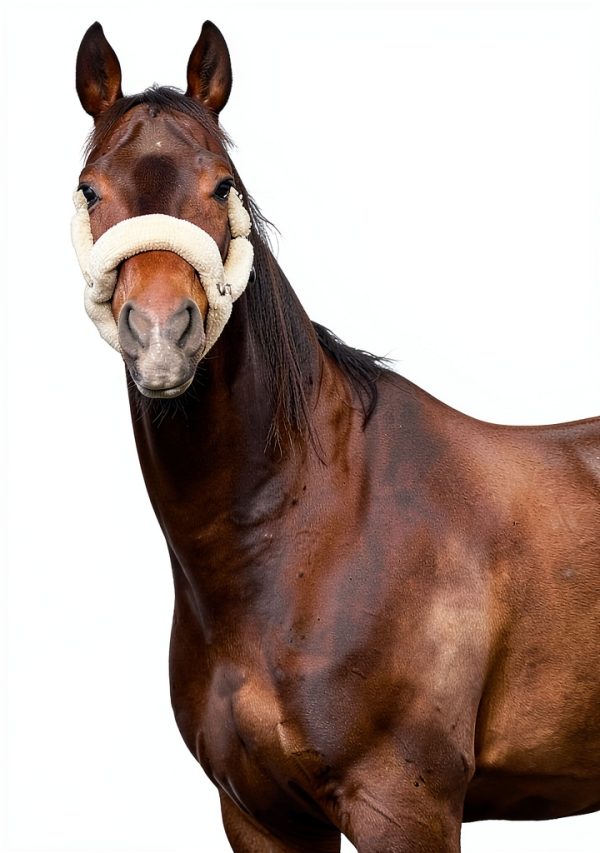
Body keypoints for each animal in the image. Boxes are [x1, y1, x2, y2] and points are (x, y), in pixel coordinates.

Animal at [73, 20, 600, 852]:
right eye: (92, 188)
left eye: (223, 184)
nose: (161, 334)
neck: (313, 524)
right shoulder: (261, 814)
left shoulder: (404, 805)